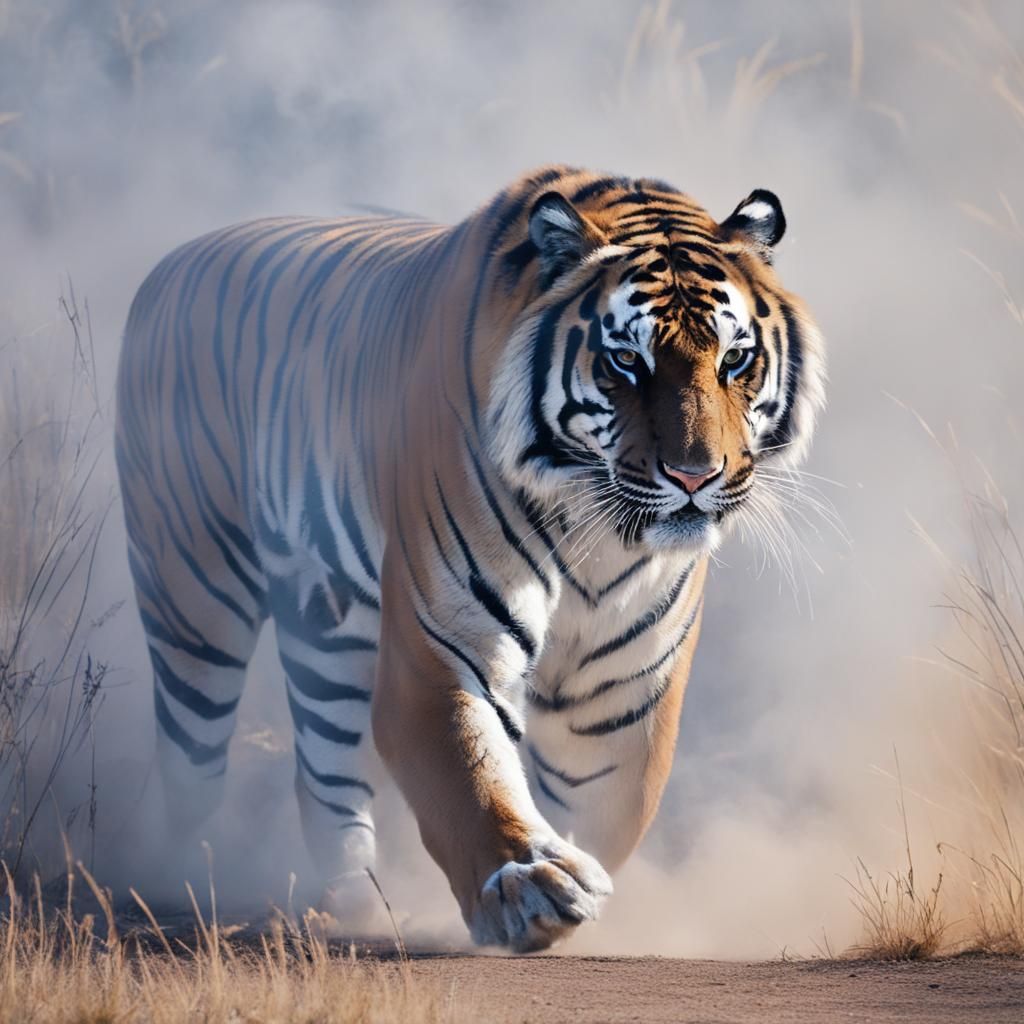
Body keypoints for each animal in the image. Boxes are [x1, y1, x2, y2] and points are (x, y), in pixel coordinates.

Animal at [115, 165, 824, 952]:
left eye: (736, 358)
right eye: (625, 361)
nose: (695, 476)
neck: (598, 533)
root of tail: (172, 261)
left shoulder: (619, 688)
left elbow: (607, 806)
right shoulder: (443, 651)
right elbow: (473, 779)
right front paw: (529, 887)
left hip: (325, 620)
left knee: (323, 764)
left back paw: (350, 901)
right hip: (193, 595)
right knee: (189, 758)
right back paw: (174, 874)